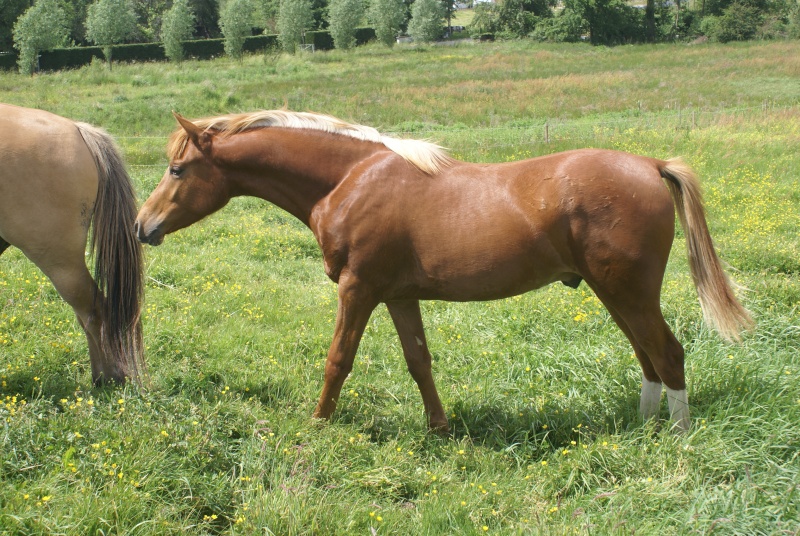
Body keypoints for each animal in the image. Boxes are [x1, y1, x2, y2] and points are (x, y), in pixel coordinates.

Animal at [134, 111, 752, 434]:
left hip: (629, 292)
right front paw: (439, 428)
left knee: (668, 353)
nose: (142, 226)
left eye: (177, 169)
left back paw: (675, 437)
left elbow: (339, 359)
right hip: (613, 293)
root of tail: (650, 164)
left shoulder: (359, 288)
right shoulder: (397, 295)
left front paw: (319, 424)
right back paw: (644, 427)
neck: (350, 178)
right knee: (647, 356)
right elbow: (419, 362)